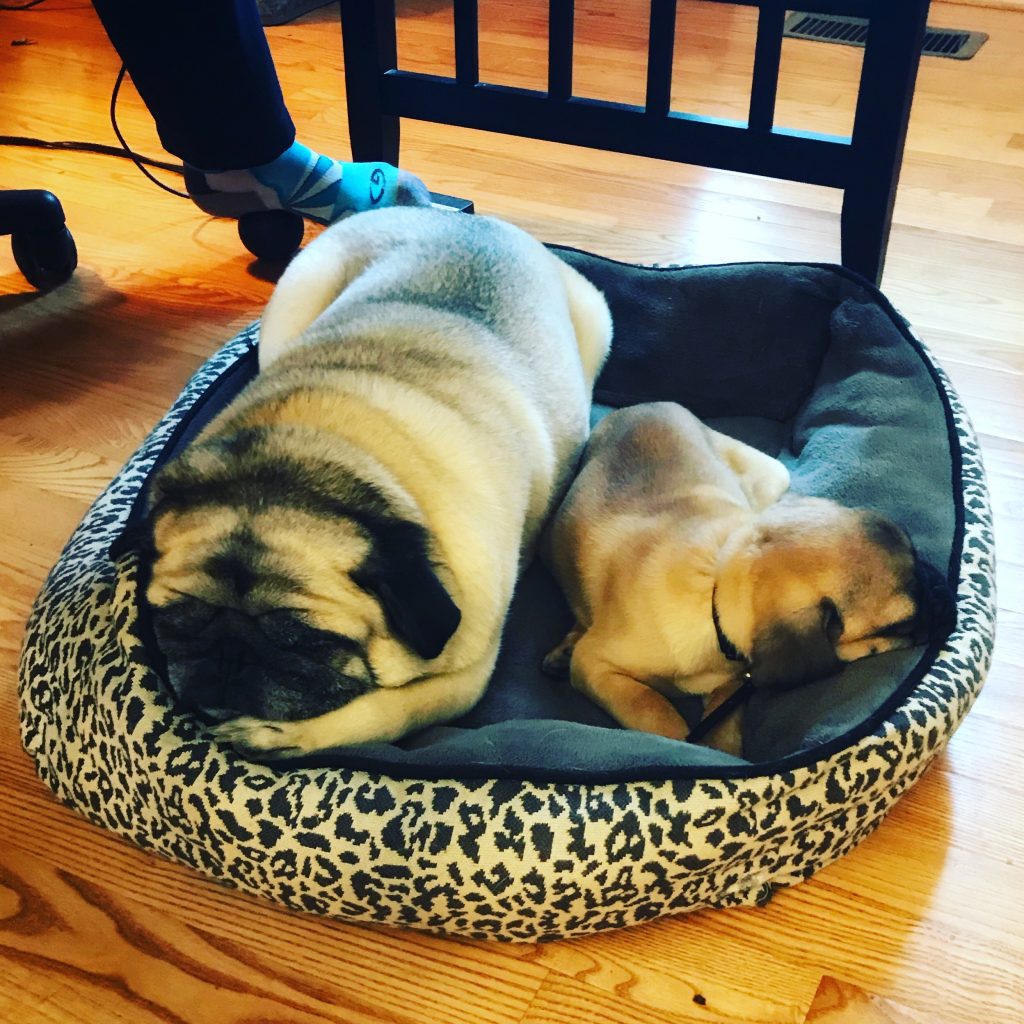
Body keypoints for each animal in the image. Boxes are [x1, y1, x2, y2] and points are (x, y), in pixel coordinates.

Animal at [144, 207, 950, 757]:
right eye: (174, 622)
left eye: (305, 640)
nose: (224, 660)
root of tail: (454, 217)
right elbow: (658, 713)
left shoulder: (464, 672)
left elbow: (386, 710)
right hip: (292, 301)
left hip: (604, 330)